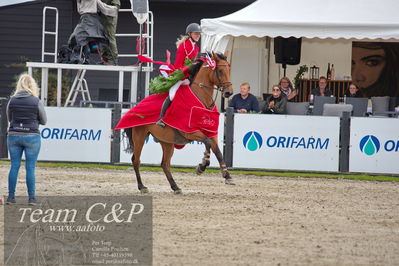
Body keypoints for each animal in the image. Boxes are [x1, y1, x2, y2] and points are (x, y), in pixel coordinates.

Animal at [126, 52, 234, 193]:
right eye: (220, 71)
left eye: (229, 70)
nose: (229, 92)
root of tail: (136, 106)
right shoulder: (191, 132)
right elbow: (207, 143)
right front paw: (202, 165)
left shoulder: (211, 132)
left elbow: (218, 152)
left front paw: (227, 175)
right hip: (139, 136)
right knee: (136, 160)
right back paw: (142, 186)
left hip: (167, 142)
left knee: (165, 164)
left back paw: (175, 186)